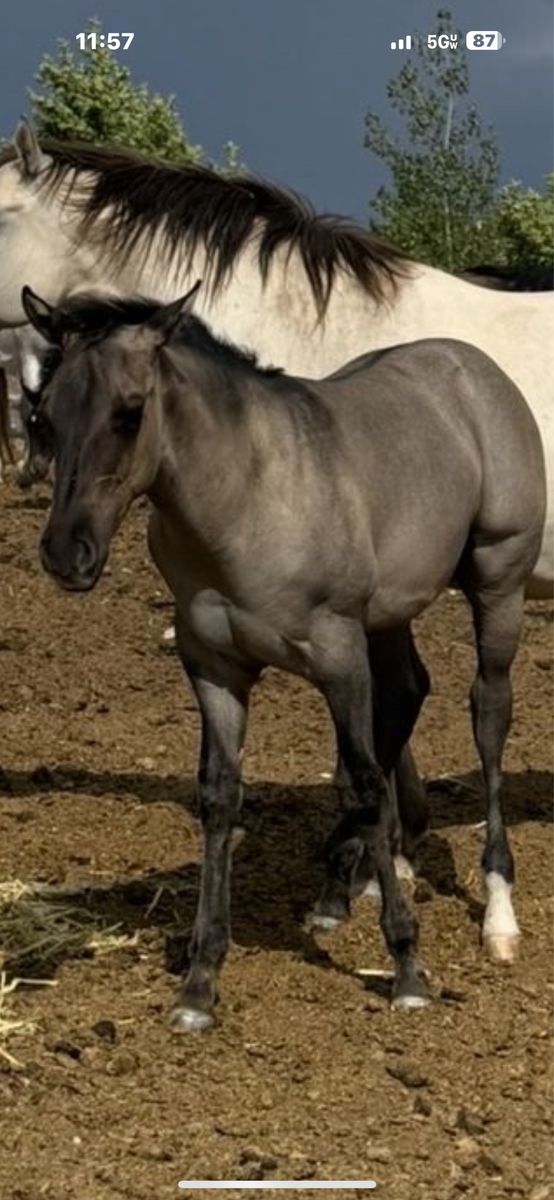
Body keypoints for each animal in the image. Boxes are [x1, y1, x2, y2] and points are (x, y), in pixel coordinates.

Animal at [21, 282, 546, 1031]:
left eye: (129, 413)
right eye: (44, 415)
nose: (67, 554)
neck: (246, 498)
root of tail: (472, 367)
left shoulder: (337, 652)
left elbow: (363, 781)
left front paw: (408, 969)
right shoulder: (214, 668)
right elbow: (221, 796)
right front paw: (200, 983)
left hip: (497, 585)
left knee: (488, 717)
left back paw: (497, 912)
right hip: (388, 615)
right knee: (408, 692)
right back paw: (350, 880)